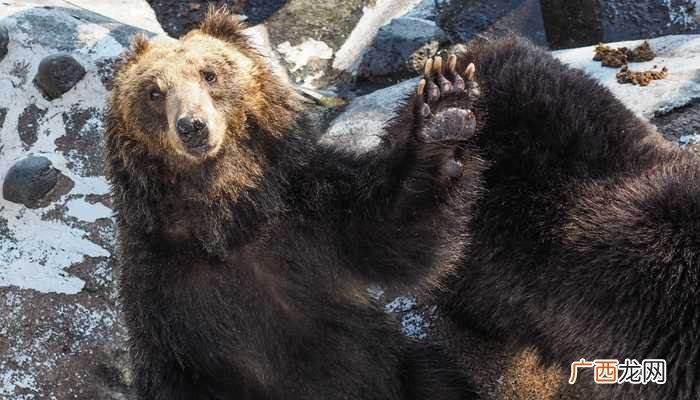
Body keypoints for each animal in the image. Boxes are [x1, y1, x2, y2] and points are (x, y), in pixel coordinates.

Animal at [105, 7, 485, 400]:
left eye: (209, 74)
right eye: (154, 91)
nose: (191, 125)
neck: (228, 215)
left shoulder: (311, 208)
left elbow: (393, 231)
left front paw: (445, 104)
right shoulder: (162, 285)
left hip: (402, 370)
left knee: (436, 378)